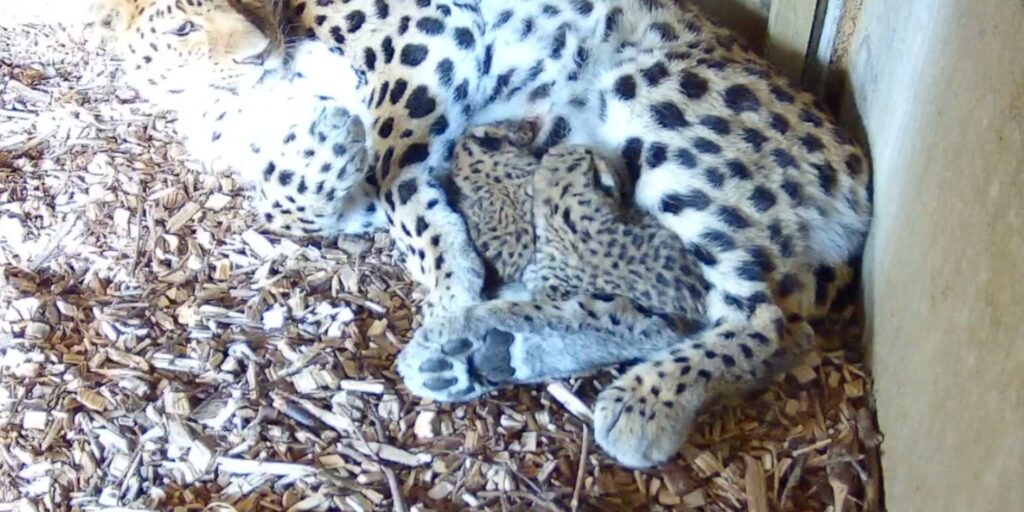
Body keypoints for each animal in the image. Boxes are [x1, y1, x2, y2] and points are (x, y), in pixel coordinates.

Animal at [88, 0, 872, 469]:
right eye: (183, 29)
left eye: (248, 2)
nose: (257, 52)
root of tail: (854, 167)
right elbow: (294, 204)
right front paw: (326, 142)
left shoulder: (426, 38)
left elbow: (398, 174)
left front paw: (449, 292)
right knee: (663, 313)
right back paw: (483, 351)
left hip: (659, 100)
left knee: (766, 321)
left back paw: (642, 401)